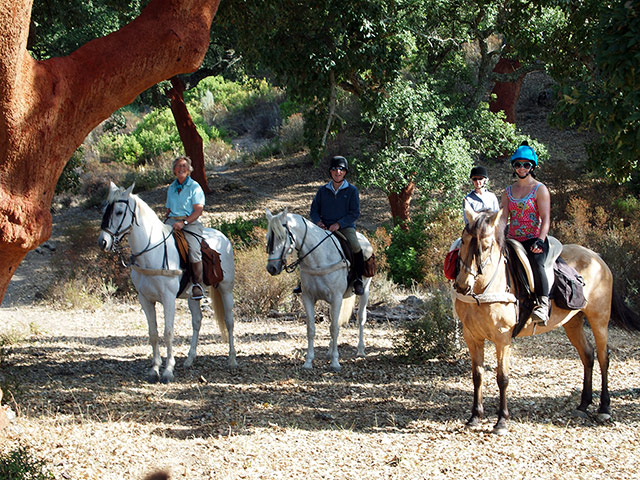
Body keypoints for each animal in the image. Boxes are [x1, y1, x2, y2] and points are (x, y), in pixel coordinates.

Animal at [95, 182, 235, 384]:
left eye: (119, 211)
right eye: (105, 209)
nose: (103, 242)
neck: (151, 252)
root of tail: (223, 237)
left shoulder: (168, 299)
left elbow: (168, 332)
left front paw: (168, 370)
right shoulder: (145, 299)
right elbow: (153, 333)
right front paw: (154, 369)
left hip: (226, 289)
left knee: (229, 321)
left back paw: (232, 359)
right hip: (193, 296)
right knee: (197, 321)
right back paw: (190, 359)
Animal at [266, 207, 376, 372]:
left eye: (281, 237)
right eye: (268, 237)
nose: (271, 268)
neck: (318, 259)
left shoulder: (336, 298)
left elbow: (334, 328)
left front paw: (335, 362)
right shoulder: (308, 298)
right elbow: (312, 329)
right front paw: (308, 361)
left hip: (365, 291)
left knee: (361, 318)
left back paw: (360, 350)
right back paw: (330, 351)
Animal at [456, 206, 640, 436]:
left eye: (486, 246)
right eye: (463, 241)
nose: (462, 285)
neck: (485, 289)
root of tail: (597, 258)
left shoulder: (502, 339)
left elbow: (502, 378)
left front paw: (502, 421)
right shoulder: (472, 337)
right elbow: (478, 375)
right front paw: (475, 417)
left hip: (599, 320)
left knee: (603, 357)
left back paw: (604, 408)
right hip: (573, 322)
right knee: (588, 355)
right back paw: (583, 405)